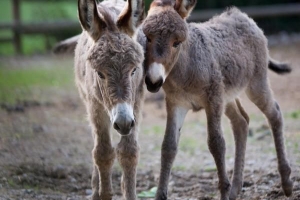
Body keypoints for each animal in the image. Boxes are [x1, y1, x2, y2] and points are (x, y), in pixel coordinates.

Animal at [75, 0, 145, 199]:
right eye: (100, 74)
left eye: (134, 70)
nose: (123, 123)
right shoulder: (95, 105)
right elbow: (103, 153)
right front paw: (103, 193)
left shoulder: (136, 101)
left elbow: (129, 152)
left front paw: (128, 192)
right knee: (96, 144)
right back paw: (95, 189)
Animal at [141, 0, 292, 199]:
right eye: (148, 38)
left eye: (176, 43)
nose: (153, 81)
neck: (185, 69)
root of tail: (240, 15)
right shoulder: (176, 103)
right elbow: (168, 146)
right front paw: (160, 194)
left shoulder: (212, 99)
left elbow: (216, 143)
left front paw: (223, 191)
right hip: (226, 96)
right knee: (241, 121)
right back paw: (235, 189)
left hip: (255, 85)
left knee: (274, 114)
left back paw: (286, 181)